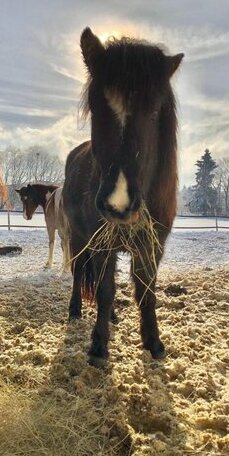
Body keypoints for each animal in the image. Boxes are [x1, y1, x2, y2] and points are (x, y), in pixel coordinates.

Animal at [63, 27, 184, 366]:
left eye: (155, 111)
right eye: (96, 107)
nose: (118, 204)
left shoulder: (153, 246)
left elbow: (146, 292)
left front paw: (154, 343)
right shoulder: (101, 243)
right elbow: (104, 291)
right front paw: (98, 346)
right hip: (78, 238)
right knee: (79, 274)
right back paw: (75, 310)